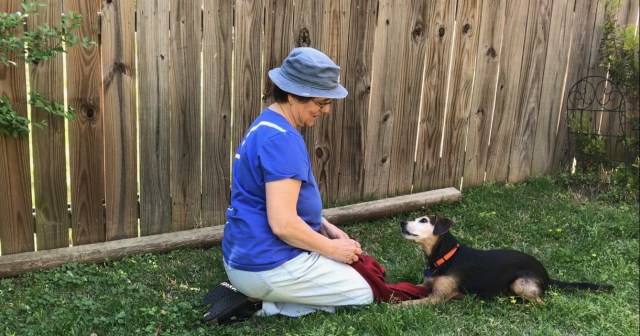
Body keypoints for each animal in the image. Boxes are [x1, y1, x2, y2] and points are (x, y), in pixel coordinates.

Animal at [400, 215, 616, 304]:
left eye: (424, 220)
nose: (402, 222)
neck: (445, 256)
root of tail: (546, 276)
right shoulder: (425, 286)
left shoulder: (437, 298)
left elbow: (407, 305)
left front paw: (392, 309)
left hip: (519, 283)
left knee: (542, 303)